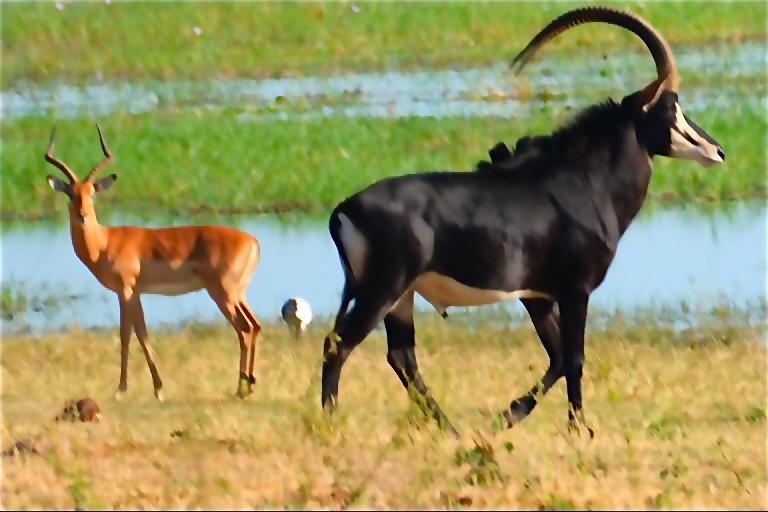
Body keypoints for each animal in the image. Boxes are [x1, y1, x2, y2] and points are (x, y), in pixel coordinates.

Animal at [320, 6, 728, 434]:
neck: (585, 181)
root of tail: (345, 208)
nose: (717, 151)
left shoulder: (537, 296)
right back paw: (330, 422)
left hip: (402, 295)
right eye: (669, 108)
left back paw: (451, 429)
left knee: (400, 356)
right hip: (383, 288)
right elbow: (575, 357)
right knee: (339, 345)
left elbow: (559, 357)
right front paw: (578, 429)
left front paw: (509, 414)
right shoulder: (575, 289)